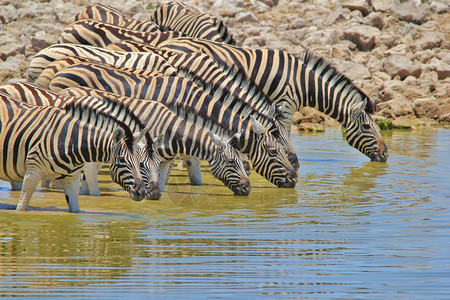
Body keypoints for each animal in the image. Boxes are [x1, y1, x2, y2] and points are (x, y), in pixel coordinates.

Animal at [158, 37, 390, 162]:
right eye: (367, 128)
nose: (386, 155)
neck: (304, 83)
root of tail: (169, 42)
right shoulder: (285, 103)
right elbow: (284, 132)